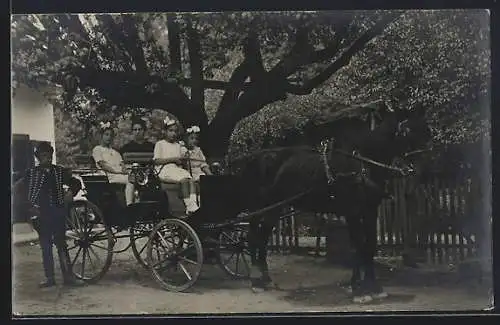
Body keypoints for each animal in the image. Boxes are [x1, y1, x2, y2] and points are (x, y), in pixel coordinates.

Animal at [232, 101, 432, 302]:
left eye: (427, 130)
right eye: (407, 131)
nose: (423, 171)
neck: (362, 164)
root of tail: (256, 158)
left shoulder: (370, 211)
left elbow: (369, 246)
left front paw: (373, 287)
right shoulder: (352, 212)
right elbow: (358, 246)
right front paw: (359, 290)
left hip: (276, 207)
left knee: (263, 237)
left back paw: (265, 279)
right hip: (262, 206)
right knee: (255, 236)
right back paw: (256, 281)